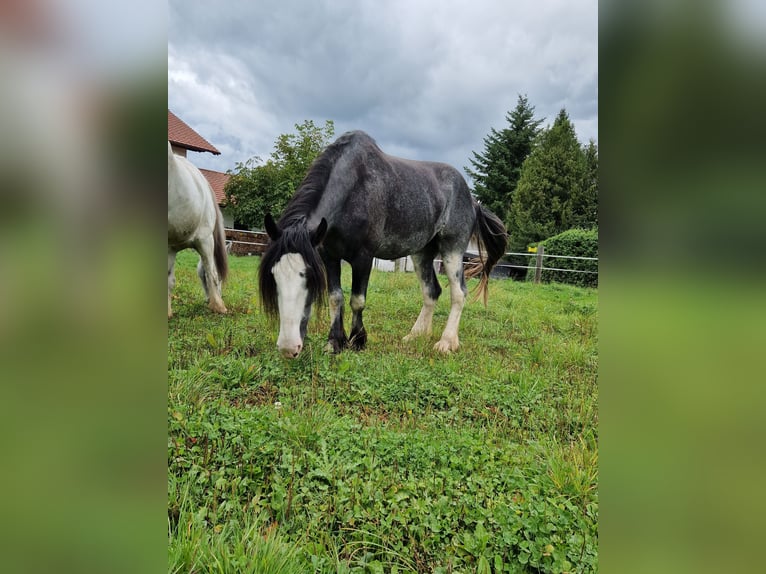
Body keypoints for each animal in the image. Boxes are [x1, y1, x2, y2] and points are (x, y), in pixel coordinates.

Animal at [168, 141, 228, 318]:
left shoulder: (170, 247)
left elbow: (169, 279)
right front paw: (218, 306)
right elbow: (211, 273)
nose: (207, 300)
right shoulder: (205, 240)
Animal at [260, 130, 508, 360]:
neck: (354, 189)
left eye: (310, 278)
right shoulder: (329, 256)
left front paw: (358, 340)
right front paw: (334, 342)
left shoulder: (363, 257)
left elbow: (357, 300)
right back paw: (416, 335)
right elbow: (335, 298)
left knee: (459, 293)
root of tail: (473, 201)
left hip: (452, 249)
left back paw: (446, 342)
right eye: (274, 277)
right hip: (422, 253)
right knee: (431, 291)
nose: (288, 347)